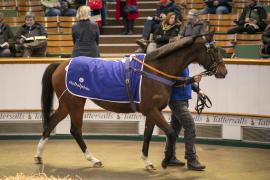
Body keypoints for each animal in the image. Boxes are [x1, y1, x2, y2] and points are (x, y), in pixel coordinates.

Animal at [33, 31, 228, 171]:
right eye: (213, 50)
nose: (223, 71)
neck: (155, 70)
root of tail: (61, 64)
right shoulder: (152, 111)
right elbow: (171, 133)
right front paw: (165, 161)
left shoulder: (153, 112)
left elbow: (148, 135)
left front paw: (148, 162)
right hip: (75, 103)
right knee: (75, 130)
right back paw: (93, 159)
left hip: (67, 104)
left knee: (50, 124)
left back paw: (39, 156)